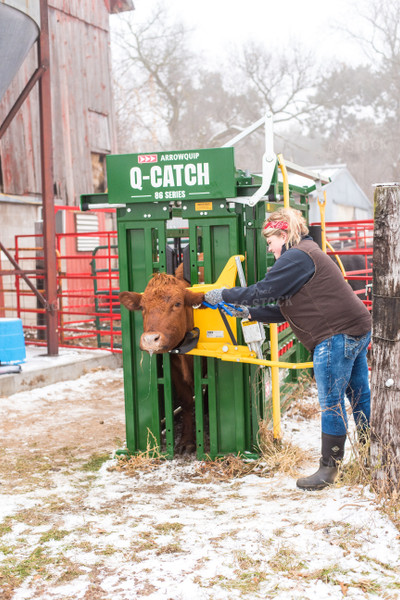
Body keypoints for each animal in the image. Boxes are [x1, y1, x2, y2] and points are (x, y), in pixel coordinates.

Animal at [118, 270, 205, 452]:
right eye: (142, 307)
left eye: (177, 303)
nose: (150, 339)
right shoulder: (174, 370)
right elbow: (186, 401)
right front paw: (187, 440)